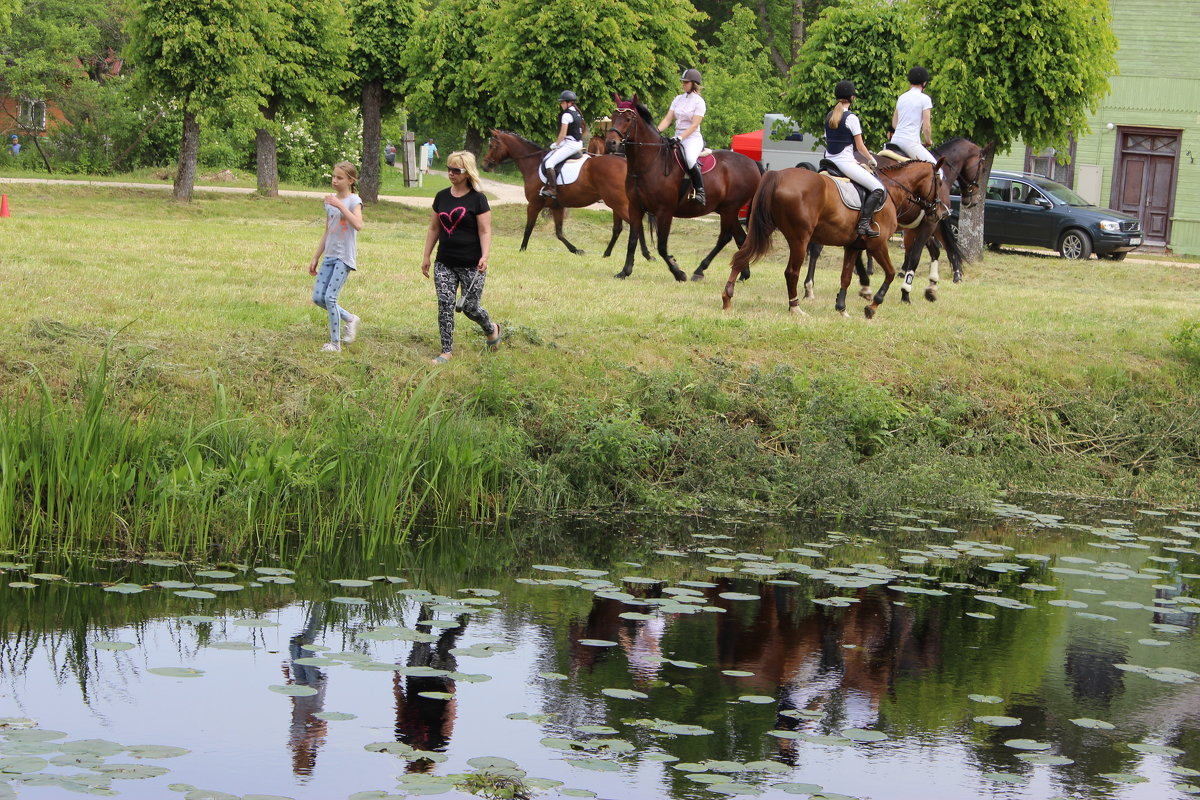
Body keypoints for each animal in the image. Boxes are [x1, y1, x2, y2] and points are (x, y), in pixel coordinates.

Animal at [477, 128, 652, 260]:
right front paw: (576, 250)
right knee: (624, 227)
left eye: (492, 145)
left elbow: (529, 228)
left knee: (635, 225)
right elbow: (559, 233)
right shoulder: (557, 207)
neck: (533, 163)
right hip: (617, 204)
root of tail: (625, 162)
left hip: (617, 203)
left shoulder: (534, 204)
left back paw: (647, 254)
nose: (485, 165)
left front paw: (522, 249)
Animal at [604, 94, 763, 283]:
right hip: (726, 210)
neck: (650, 164)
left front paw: (678, 272)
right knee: (740, 237)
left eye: (628, 119)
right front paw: (625, 271)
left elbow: (662, 246)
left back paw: (700, 270)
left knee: (726, 237)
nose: (611, 143)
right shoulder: (635, 207)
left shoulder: (664, 211)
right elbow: (632, 241)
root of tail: (752, 162)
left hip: (730, 209)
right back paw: (742, 273)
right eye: (613, 116)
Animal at [724, 155, 940, 319]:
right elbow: (890, 273)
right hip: (799, 239)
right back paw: (795, 307)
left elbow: (846, 277)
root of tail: (777, 174)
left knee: (741, 257)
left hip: (765, 227)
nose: (938, 212)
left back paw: (727, 298)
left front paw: (842, 309)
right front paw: (872, 307)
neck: (892, 191)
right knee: (791, 272)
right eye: (940, 181)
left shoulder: (853, 247)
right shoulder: (877, 245)